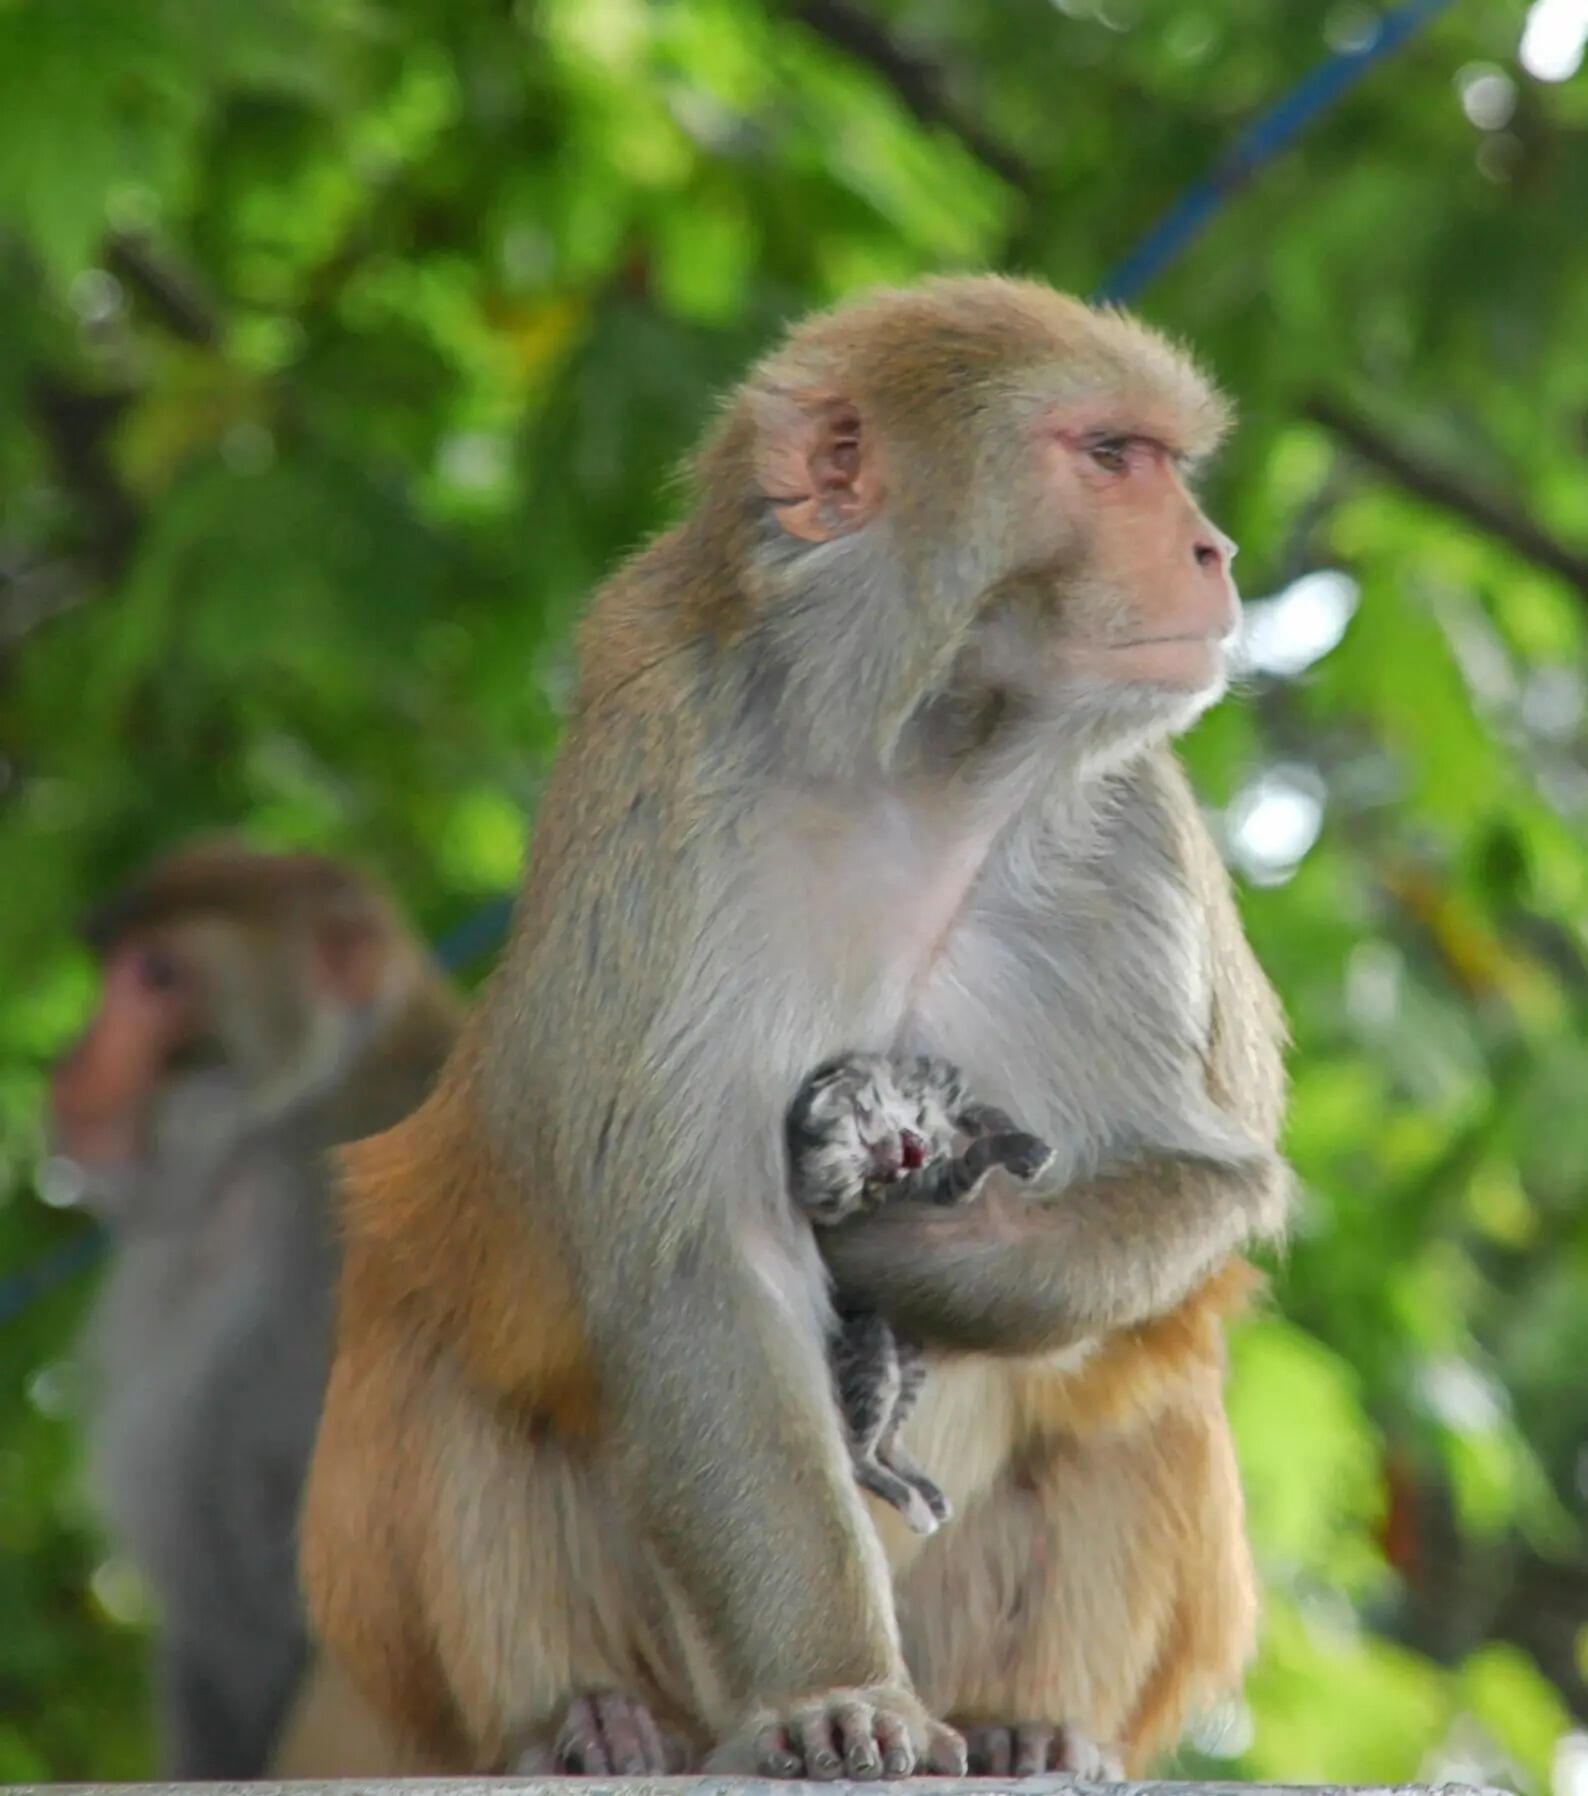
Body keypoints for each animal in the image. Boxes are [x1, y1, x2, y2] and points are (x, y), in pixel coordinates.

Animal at [785, 1050, 1053, 1536]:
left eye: (863, 1141)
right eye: (865, 1185)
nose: (895, 1167)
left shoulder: (950, 1093)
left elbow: (988, 1116)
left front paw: (1025, 1147)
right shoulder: (939, 1184)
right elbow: (971, 1160)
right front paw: (1008, 1151)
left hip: (909, 1361)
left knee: (887, 1442)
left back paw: (927, 1492)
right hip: (873, 1363)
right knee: (856, 1457)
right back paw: (913, 1506)